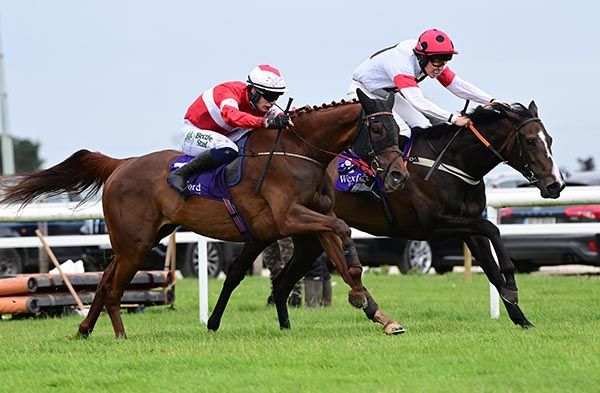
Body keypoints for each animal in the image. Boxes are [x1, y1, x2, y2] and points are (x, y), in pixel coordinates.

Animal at [0, 89, 408, 336]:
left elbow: (343, 257)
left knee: (103, 280)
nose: (398, 174)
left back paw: (86, 329)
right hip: (135, 244)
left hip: (141, 239)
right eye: (376, 128)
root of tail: (121, 164)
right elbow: (341, 229)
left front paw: (379, 314)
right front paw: (363, 301)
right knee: (113, 286)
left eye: (397, 129)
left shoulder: (308, 225)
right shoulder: (290, 218)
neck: (300, 151)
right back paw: (119, 334)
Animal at [218, 102, 564, 334]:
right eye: (530, 141)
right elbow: (492, 227)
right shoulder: (431, 224)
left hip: (308, 239)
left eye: (550, 140)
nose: (556, 184)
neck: (449, 163)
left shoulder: (466, 226)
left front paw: (521, 318)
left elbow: (491, 263)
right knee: (251, 273)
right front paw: (512, 286)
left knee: (282, 281)